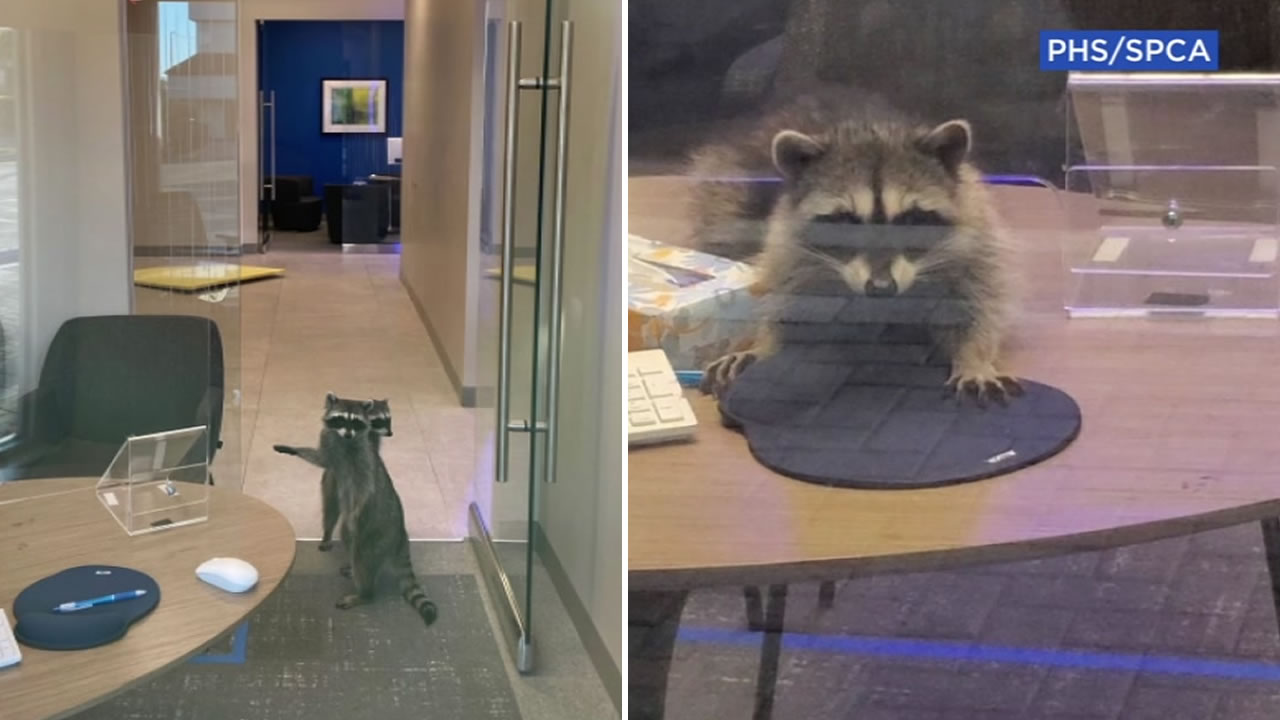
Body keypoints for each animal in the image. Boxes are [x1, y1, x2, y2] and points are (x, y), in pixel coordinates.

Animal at [272, 392, 437, 622]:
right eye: (341, 419)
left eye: (356, 422)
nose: (349, 435)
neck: (345, 440)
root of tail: (400, 536)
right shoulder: (329, 443)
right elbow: (322, 459)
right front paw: (294, 449)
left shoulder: (365, 458)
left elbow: (365, 488)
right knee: (343, 530)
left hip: (374, 534)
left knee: (360, 553)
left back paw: (365, 594)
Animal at [691, 87, 1018, 399]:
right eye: (846, 220)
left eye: (911, 219)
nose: (882, 288)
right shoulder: (785, 244)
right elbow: (778, 298)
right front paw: (763, 343)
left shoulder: (974, 230)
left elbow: (979, 302)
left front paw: (975, 358)